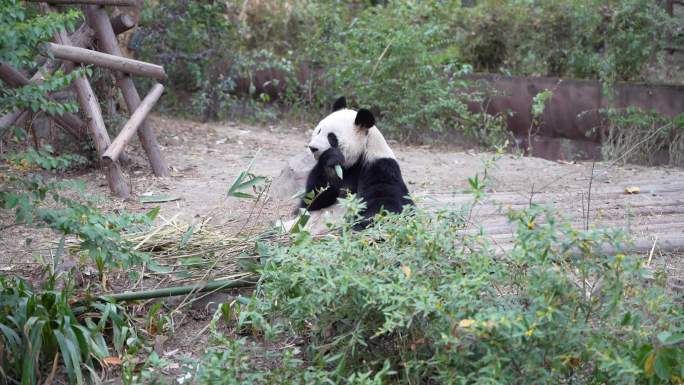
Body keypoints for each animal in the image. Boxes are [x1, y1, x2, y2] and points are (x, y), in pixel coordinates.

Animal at [300, 97, 412, 228]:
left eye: (331, 137)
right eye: (318, 131)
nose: (313, 148)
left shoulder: (379, 166)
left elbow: (385, 201)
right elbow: (311, 201)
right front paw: (330, 160)